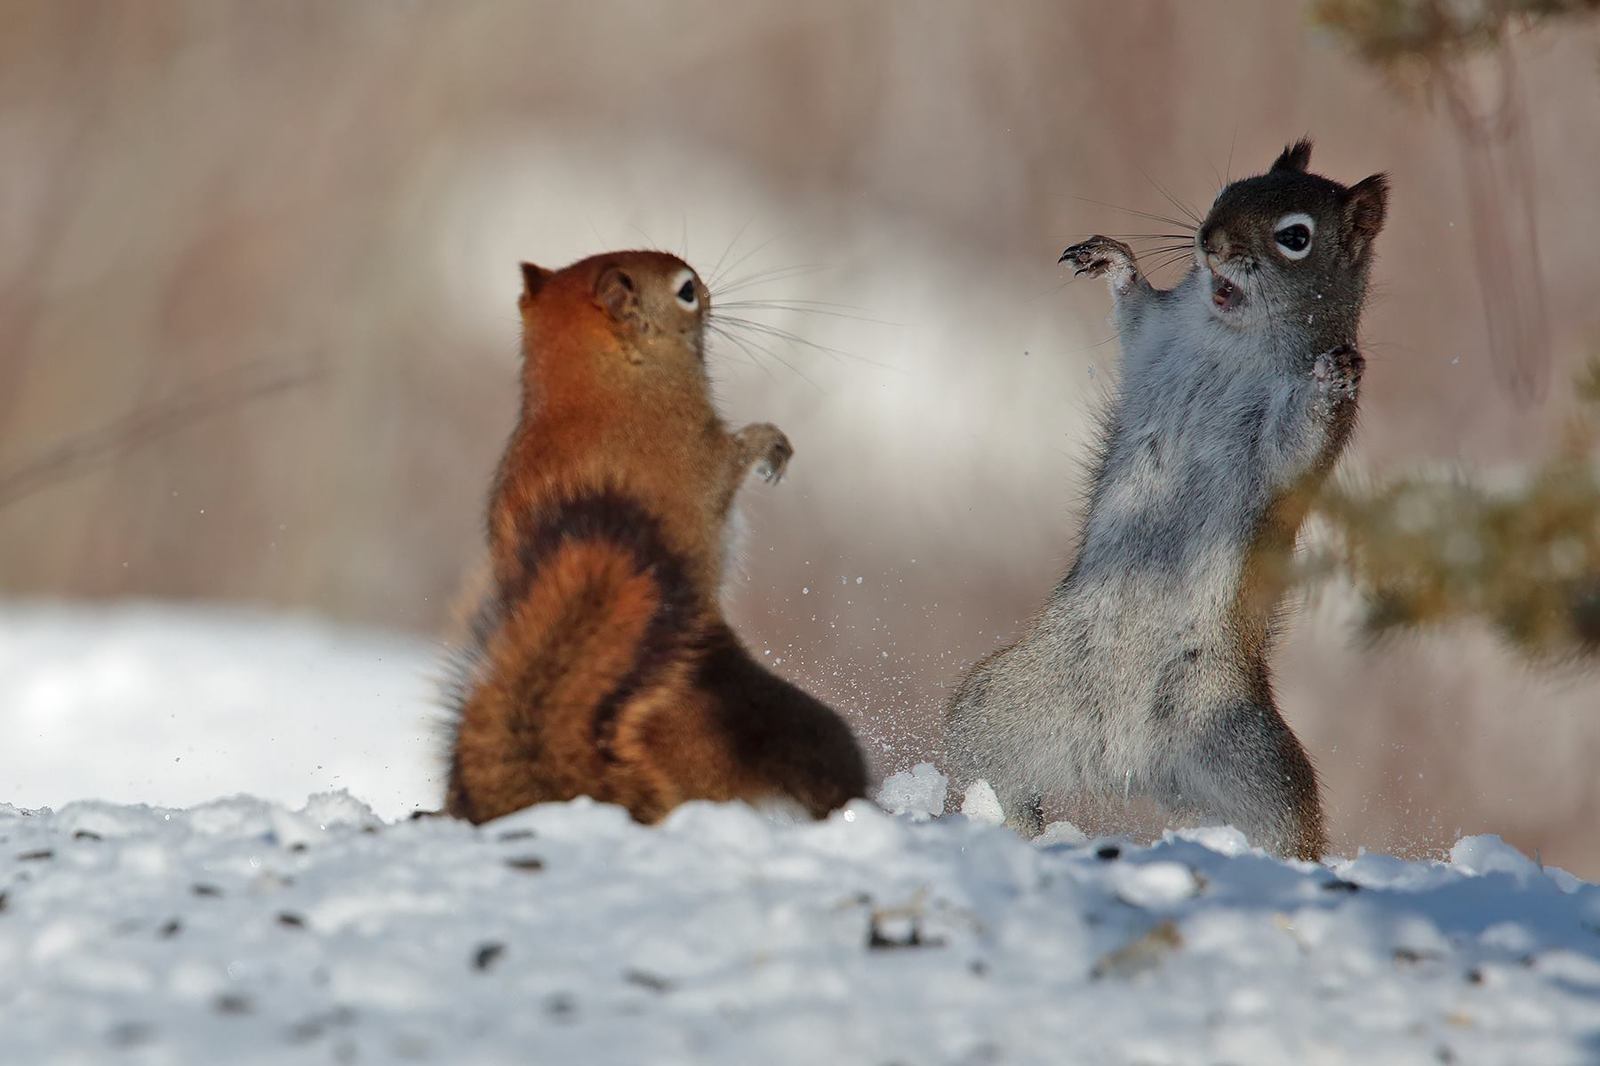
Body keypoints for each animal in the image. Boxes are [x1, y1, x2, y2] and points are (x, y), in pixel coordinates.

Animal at [947, 139, 1388, 857]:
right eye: (1226, 193)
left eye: (1296, 237)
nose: (1210, 241)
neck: (1232, 333)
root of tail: (1123, 762)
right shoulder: (1156, 333)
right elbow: (1133, 308)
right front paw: (1112, 260)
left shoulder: (1294, 447)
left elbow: (1298, 438)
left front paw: (1333, 376)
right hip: (998, 711)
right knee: (993, 777)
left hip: (1251, 764)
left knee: (1284, 826)